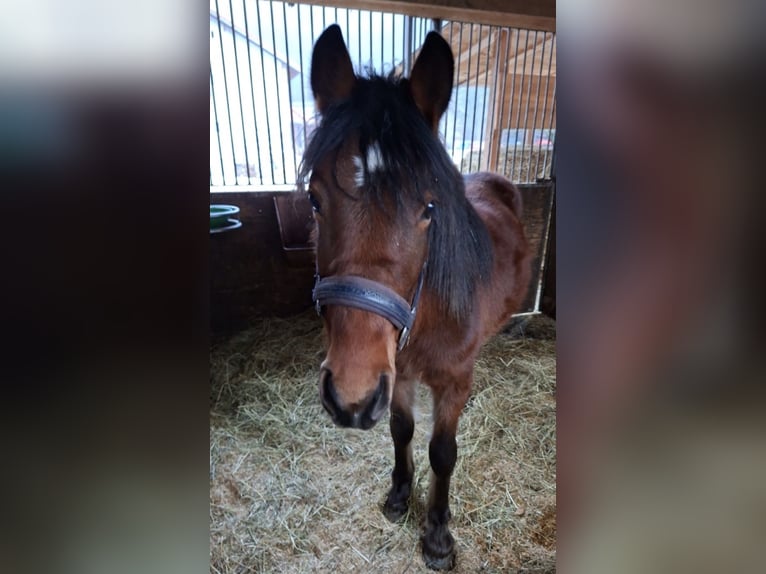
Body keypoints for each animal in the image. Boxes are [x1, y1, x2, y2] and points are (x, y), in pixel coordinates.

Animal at [301, 25, 532, 570]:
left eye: (429, 207)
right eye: (314, 199)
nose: (350, 396)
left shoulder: (453, 381)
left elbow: (442, 452)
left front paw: (437, 535)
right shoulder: (397, 374)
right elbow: (401, 431)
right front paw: (400, 496)